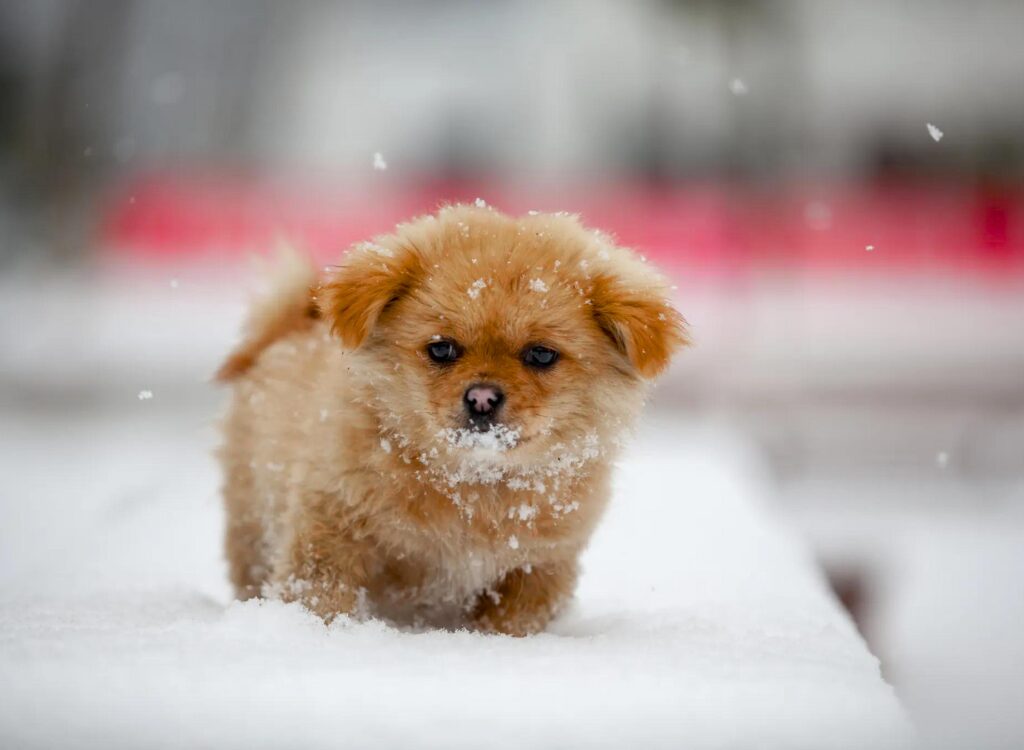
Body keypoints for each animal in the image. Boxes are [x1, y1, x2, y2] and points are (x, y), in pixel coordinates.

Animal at [220, 203, 692, 631]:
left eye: (541, 355)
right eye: (442, 348)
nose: (481, 398)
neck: (474, 487)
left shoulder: (541, 564)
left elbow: (514, 620)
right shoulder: (331, 525)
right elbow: (321, 593)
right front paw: (319, 632)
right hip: (252, 520)